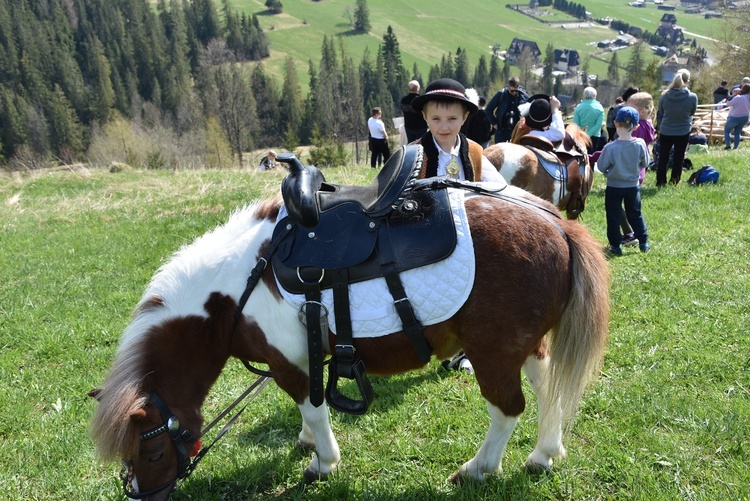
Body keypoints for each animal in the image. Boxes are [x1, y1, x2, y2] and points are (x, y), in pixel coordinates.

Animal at [88, 175, 612, 496]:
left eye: (153, 449)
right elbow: (307, 415)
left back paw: (479, 468)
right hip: (527, 345)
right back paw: (544, 454)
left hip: (492, 352)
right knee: (547, 390)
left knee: (507, 409)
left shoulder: (291, 364)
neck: (235, 287)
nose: (142, 495)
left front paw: (323, 461)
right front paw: (306, 442)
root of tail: (557, 223)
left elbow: (315, 409)